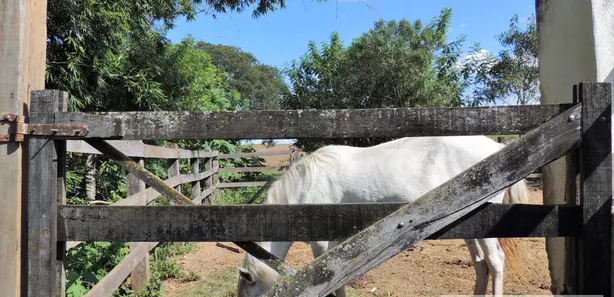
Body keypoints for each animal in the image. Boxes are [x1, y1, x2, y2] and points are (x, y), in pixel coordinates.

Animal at [238, 135, 532, 296]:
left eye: (246, 288)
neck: (308, 183)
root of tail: (497, 149)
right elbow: (338, 278)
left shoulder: (319, 241)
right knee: (481, 264)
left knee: (495, 261)